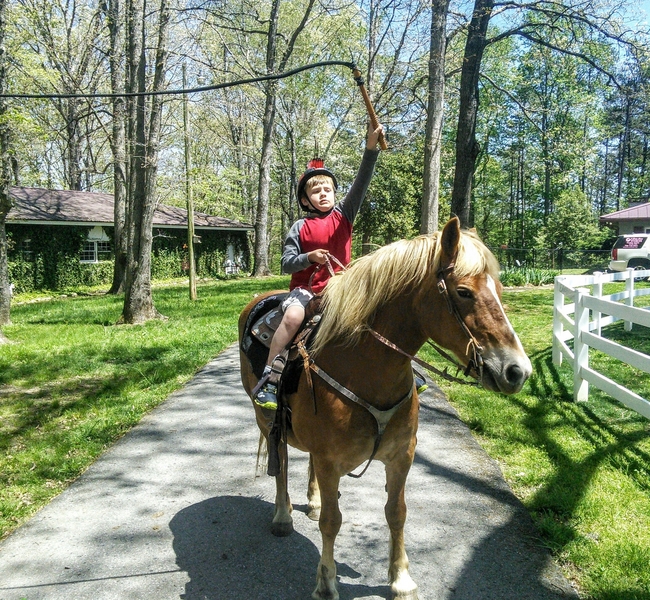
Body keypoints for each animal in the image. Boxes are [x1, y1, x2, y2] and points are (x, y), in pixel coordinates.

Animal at [238, 217, 532, 600]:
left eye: (498, 287)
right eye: (464, 292)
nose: (518, 371)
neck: (365, 366)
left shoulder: (401, 455)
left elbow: (397, 512)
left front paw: (401, 579)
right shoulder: (331, 461)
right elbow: (332, 521)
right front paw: (326, 583)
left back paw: (312, 500)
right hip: (266, 422)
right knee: (283, 466)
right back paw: (282, 516)